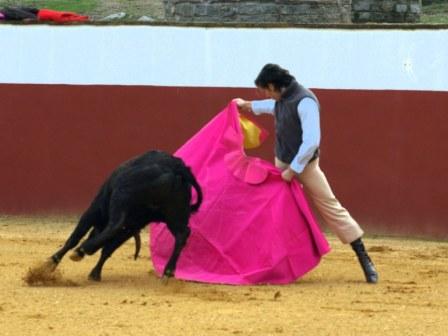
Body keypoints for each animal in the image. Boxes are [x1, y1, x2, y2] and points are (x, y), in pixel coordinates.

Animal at [50, 150, 202, 280]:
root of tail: (177, 168)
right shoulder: (133, 226)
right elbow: (108, 248)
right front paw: (95, 273)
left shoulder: (95, 209)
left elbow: (75, 237)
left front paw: (54, 260)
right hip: (175, 214)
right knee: (182, 234)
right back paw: (168, 271)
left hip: (121, 196)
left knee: (114, 226)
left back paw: (82, 249)